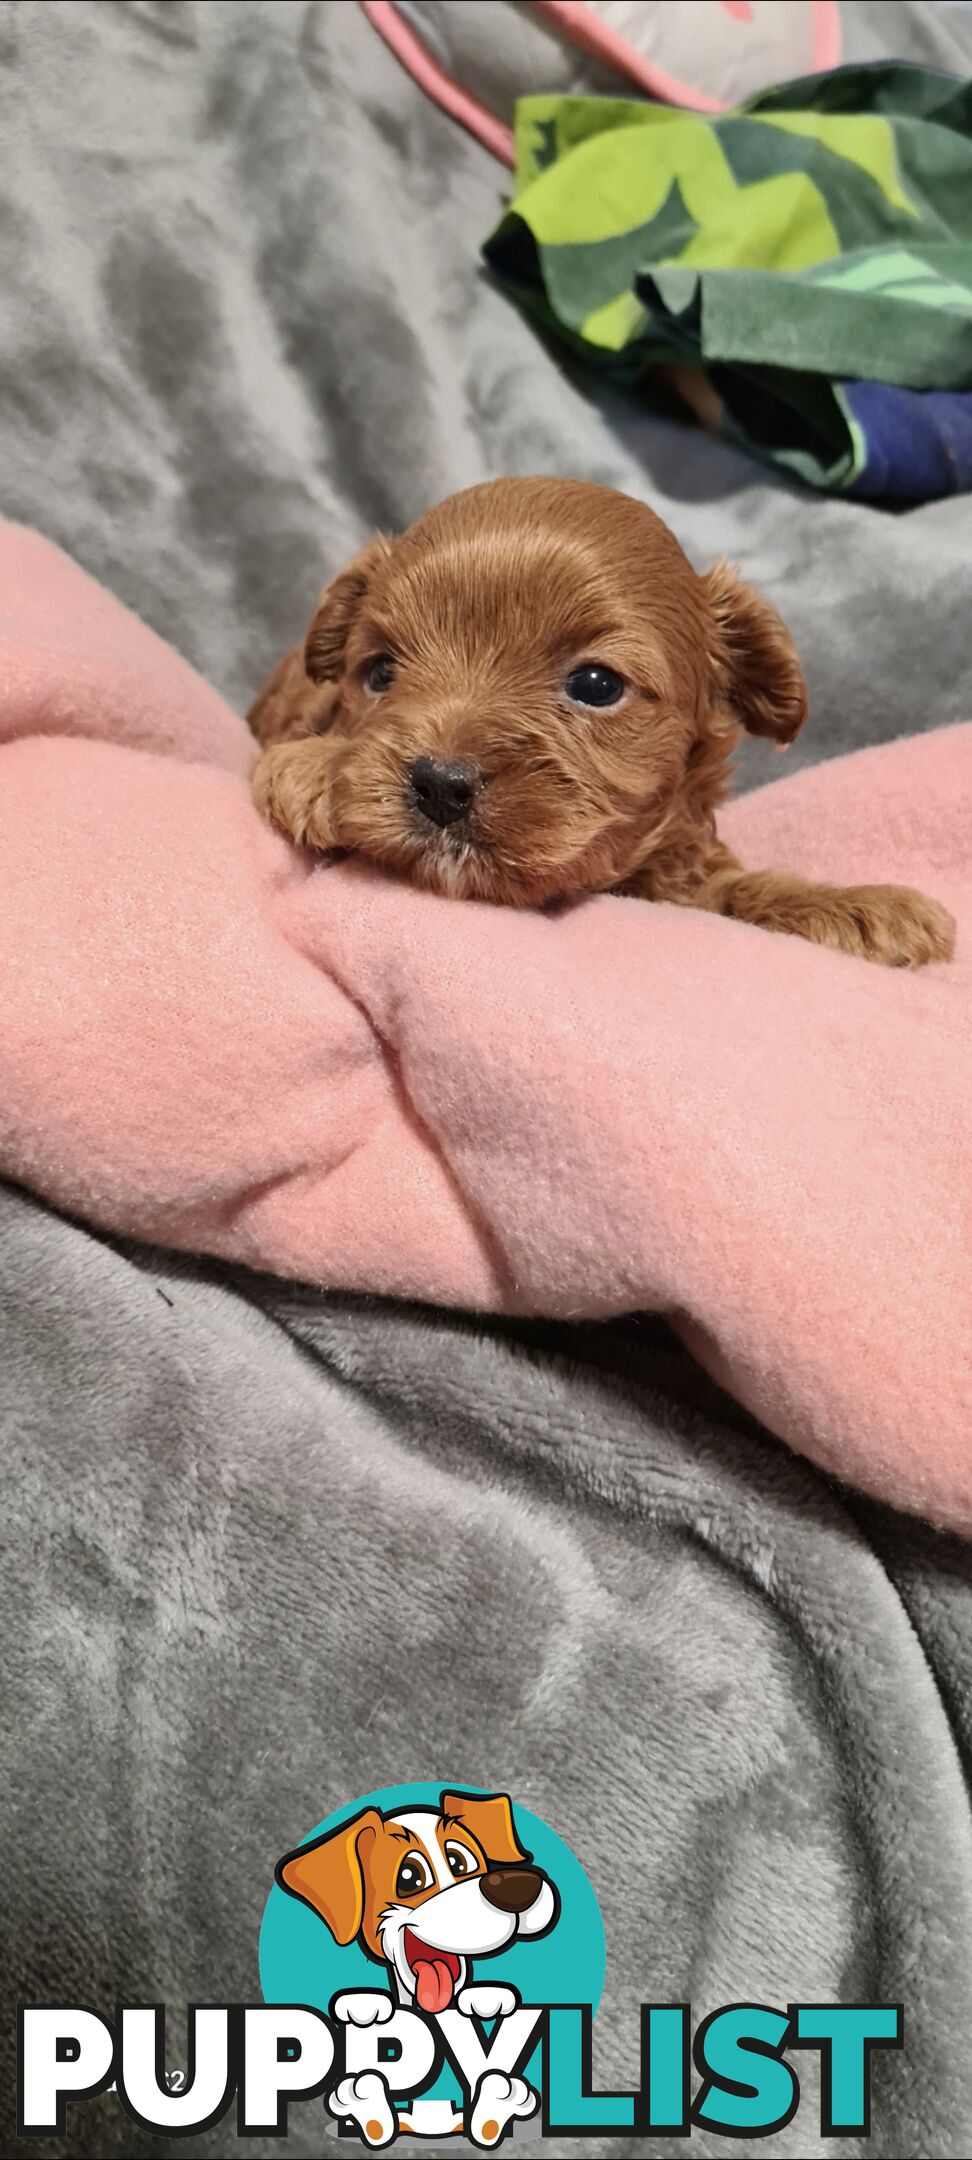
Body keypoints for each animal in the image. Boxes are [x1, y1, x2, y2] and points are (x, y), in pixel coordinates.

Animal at [250, 486, 954, 976]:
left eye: (596, 685)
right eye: (380, 672)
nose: (439, 784)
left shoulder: (682, 876)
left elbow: (734, 892)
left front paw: (864, 909)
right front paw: (312, 771)